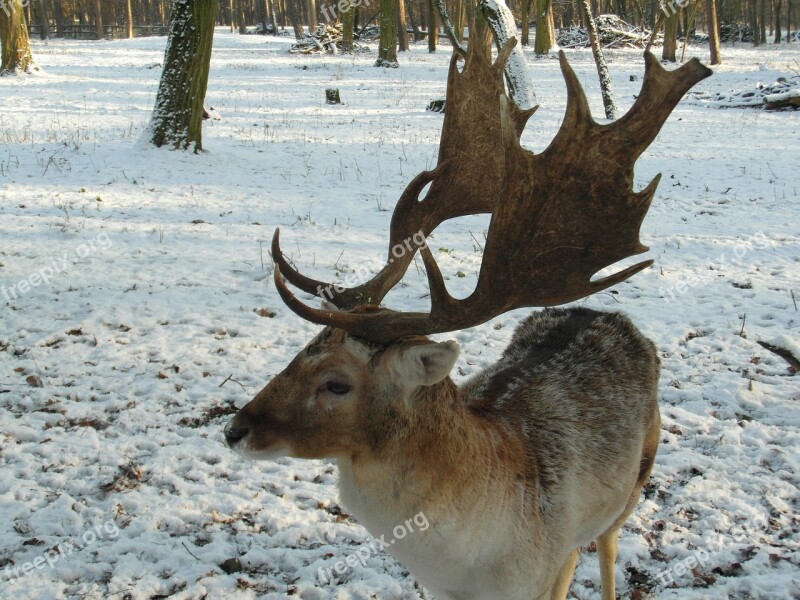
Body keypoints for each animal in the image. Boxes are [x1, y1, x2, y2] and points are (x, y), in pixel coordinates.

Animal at [225, 19, 712, 600]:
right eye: (298, 355)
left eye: (337, 383)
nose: (234, 429)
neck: (468, 569)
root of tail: (606, 315)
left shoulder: (538, 573)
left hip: (635, 482)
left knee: (606, 548)